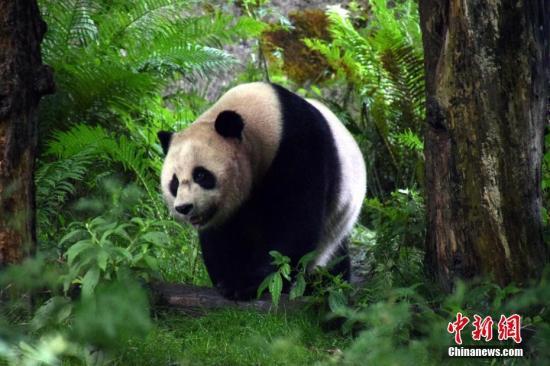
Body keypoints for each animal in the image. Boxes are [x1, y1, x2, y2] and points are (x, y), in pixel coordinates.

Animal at [157, 83, 368, 300]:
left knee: (333, 257)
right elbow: (220, 236)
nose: (184, 207)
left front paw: (248, 284)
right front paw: (228, 280)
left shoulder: (301, 148)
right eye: (174, 183)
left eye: (200, 175)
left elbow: (295, 223)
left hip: (339, 218)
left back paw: (326, 285)